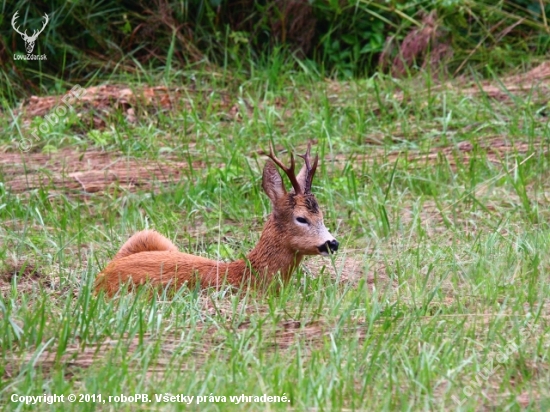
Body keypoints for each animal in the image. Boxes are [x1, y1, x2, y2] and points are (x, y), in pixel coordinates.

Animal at [95, 143, 338, 294]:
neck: (246, 275)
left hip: (149, 236)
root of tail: (101, 278)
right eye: (301, 218)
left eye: (322, 215)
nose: (332, 243)